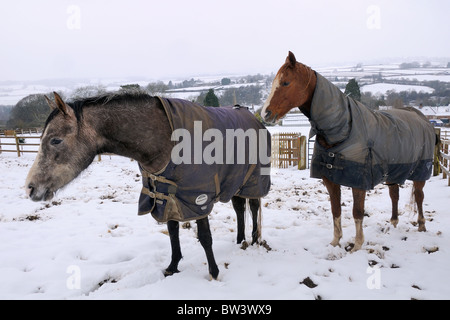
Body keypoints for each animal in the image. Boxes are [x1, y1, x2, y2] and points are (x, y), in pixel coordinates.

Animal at [262, 52, 438, 252]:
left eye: (285, 82)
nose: (265, 113)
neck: (343, 129)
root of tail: (421, 117)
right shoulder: (330, 180)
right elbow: (336, 210)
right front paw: (336, 241)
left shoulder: (359, 182)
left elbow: (357, 212)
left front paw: (357, 245)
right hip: (394, 171)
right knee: (394, 194)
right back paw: (393, 223)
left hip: (420, 173)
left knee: (419, 196)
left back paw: (422, 225)